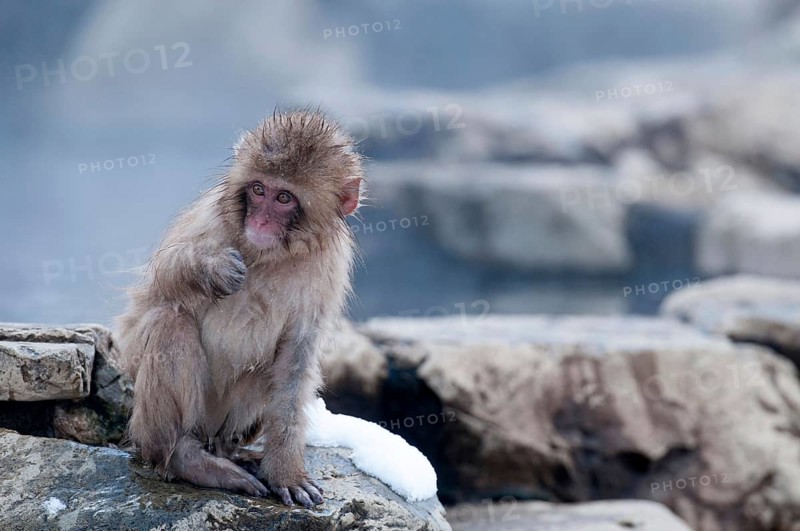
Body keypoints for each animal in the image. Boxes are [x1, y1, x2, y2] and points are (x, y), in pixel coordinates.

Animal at [116, 110, 363, 508]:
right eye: (258, 191)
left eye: (283, 198)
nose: (259, 221)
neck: (271, 254)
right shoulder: (210, 218)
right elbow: (156, 285)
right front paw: (214, 268)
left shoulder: (329, 267)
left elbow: (297, 358)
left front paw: (285, 471)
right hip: (156, 418)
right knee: (170, 321)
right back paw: (184, 457)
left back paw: (231, 451)